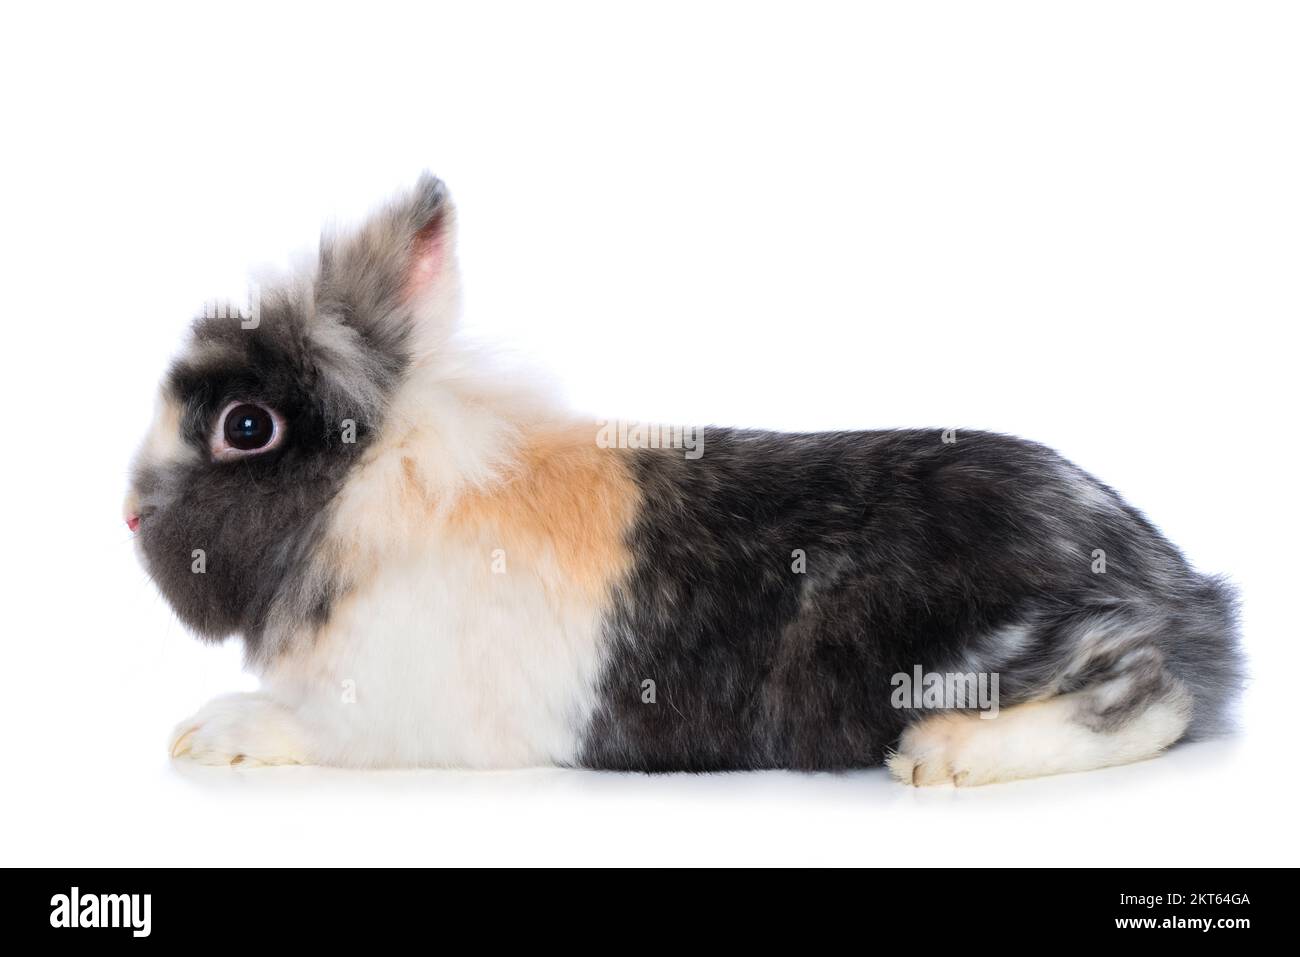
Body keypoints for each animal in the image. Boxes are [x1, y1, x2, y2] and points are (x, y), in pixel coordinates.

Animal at [125, 174, 1243, 785]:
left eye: (245, 425)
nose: (129, 510)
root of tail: (1181, 589)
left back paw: (944, 757)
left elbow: (305, 727)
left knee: (1154, 697)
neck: (379, 492)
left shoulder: (384, 719)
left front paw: (210, 733)